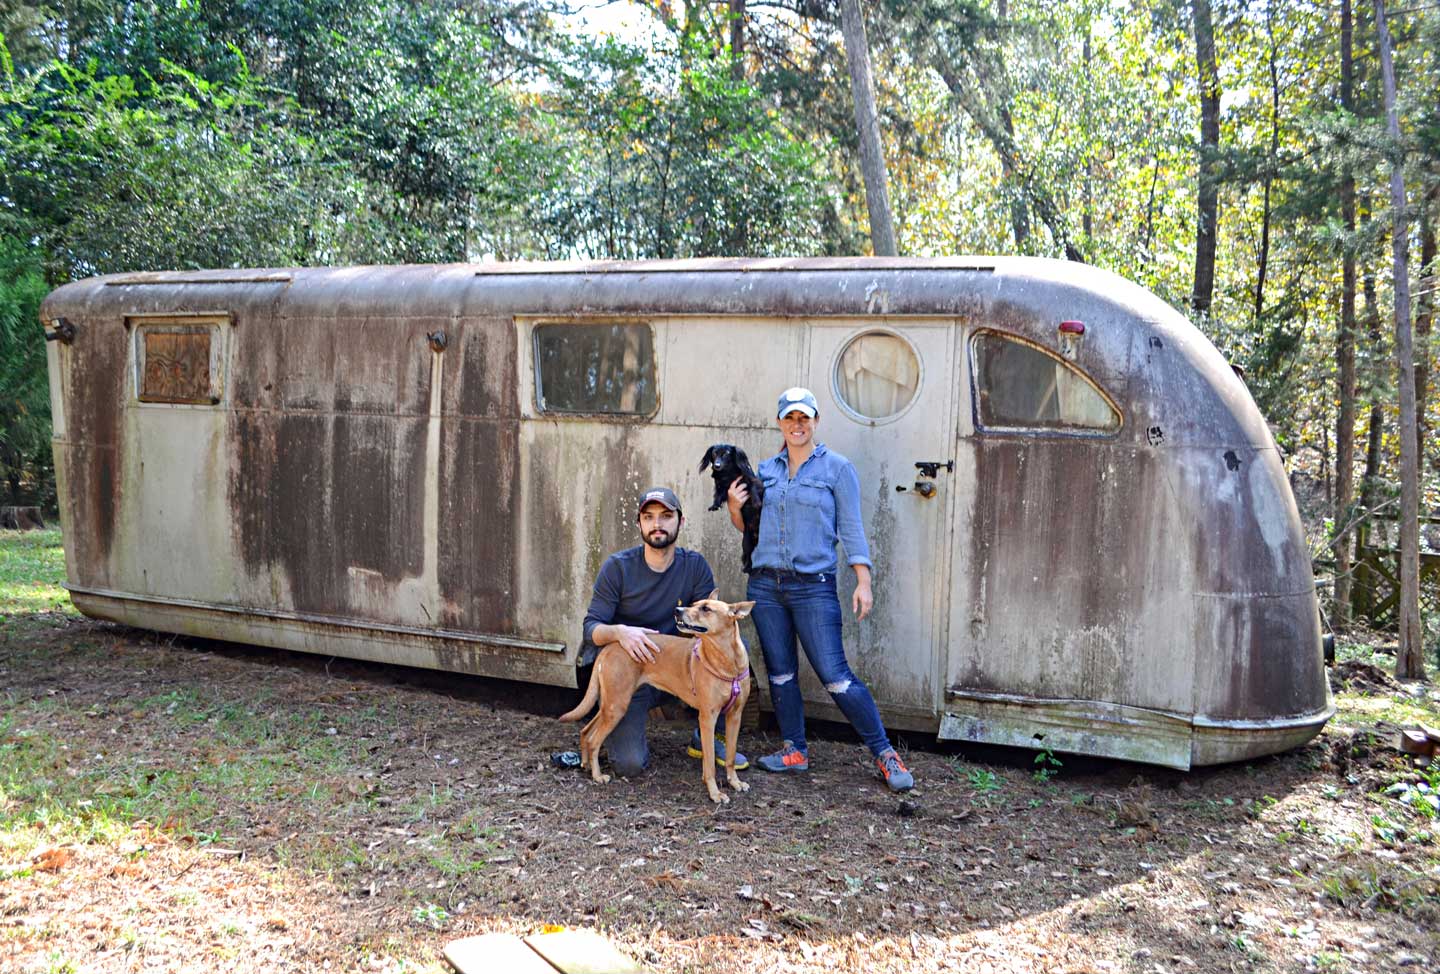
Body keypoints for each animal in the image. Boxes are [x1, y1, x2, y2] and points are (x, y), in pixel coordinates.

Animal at [555, 590, 754, 801]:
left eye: (706, 608)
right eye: (694, 604)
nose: (677, 610)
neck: (727, 661)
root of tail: (611, 646)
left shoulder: (735, 716)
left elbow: (730, 756)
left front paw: (735, 782)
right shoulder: (708, 717)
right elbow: (709, 765)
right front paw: (715, 793)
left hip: (610, 703)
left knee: (586, 731)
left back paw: (585, 764)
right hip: (617, 706)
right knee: (594, 740)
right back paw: (597, 775)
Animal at [696, 443, 766, 573]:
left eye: (726, 454)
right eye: (714, 453)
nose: (717, 465)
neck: (727, 473)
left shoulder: (750, 479)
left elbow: (752, 487)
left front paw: (756, 502)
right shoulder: (722, 487)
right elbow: (718, 495)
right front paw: (714, 505)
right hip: (746, 542)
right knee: (749, 555)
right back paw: (747, 568)